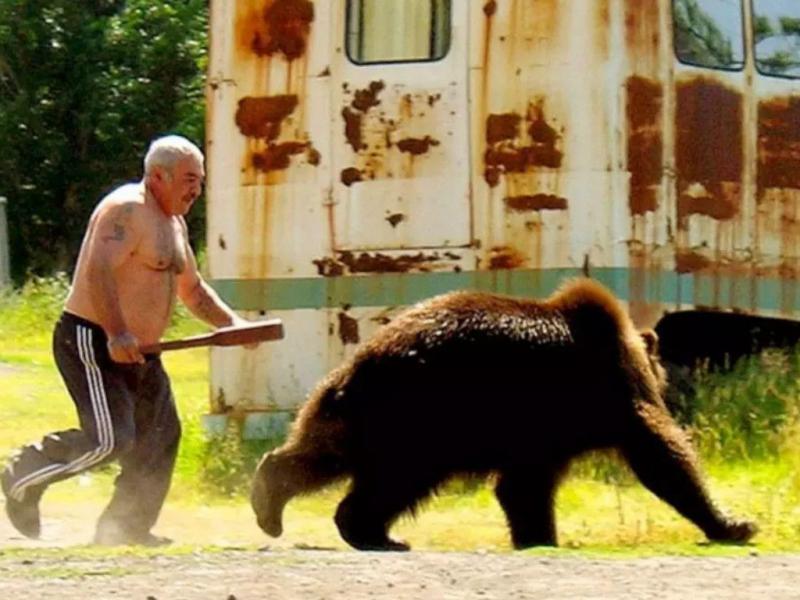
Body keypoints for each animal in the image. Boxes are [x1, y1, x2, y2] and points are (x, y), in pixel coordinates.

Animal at [250, 278, 757, 551]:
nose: (674, 378)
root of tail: (362, 360)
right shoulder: (605, 393)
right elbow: (660, 453)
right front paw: (734, 523)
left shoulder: (540, 432)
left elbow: (522, 488)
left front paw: (537, 535)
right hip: (423, 415)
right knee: (397, 480)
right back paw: (371, 531)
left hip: (356, 411)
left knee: (323, 453)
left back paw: (275, 503)